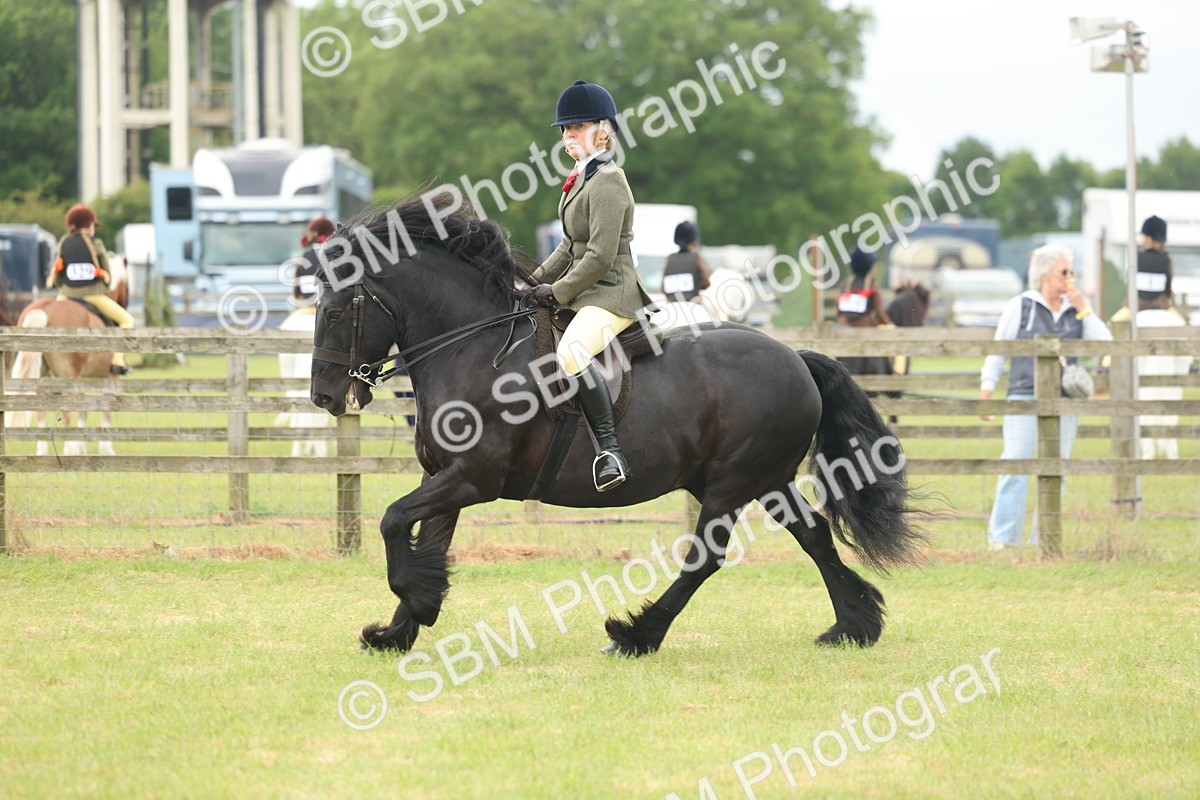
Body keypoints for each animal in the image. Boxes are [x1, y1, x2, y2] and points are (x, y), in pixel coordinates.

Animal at [9, 255, 129, 456]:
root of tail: (44, 309)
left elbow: (83, 412)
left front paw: (83, 447)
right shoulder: (109, 378)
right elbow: (105, 412)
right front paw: (105, 449)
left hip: (42, 377)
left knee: (41, 411)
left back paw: (44, 451)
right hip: (68, 378)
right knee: (66, 411)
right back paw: (70, 449)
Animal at [309, 195, 925, 656]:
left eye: (336, 312)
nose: (324, 396)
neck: (473, 348)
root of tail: (795, 356)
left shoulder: (473, 478)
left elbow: (393, 520)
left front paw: (416, 603)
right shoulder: (445, 475)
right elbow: (427, 540)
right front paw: (401, 627)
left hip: (733, 482)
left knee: (706, 557)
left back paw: (635, 634)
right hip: (763, 479)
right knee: (814, 536)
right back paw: (854, 624)